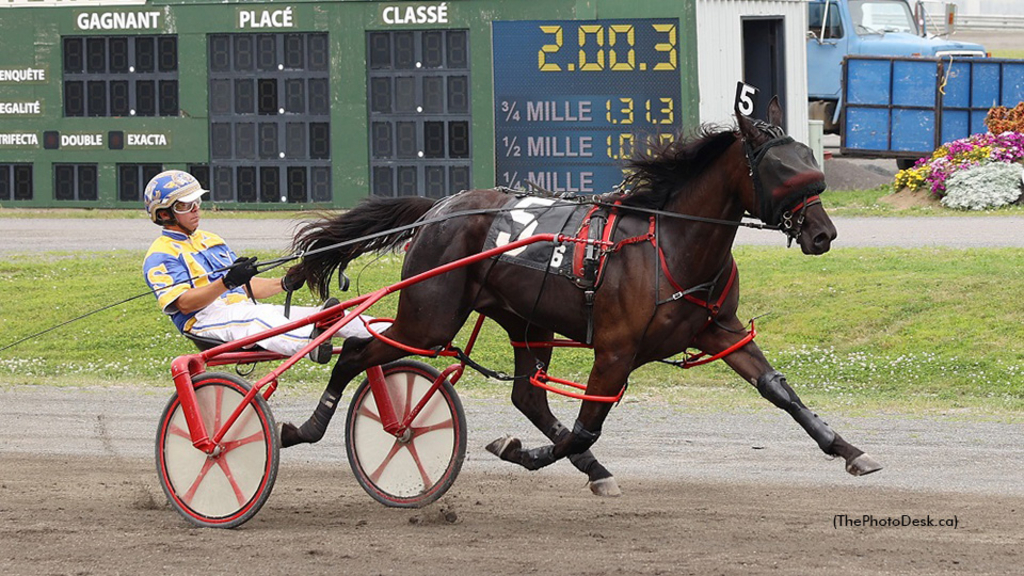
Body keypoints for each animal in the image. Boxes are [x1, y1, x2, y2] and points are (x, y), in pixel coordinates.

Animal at [278, 99, 880, 494]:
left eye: (808, 157)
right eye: (781, 167)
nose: (823, 233)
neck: (670, 245)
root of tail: (439, 209)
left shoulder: (719, 329)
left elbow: (778, 389)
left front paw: (850, 451)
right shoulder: (615, 350)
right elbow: (590, 421)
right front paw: (526, 452)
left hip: (526, 322)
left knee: (528, 395)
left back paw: (590, 465)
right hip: (429, 319)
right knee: (356, 353)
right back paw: (303, 428)